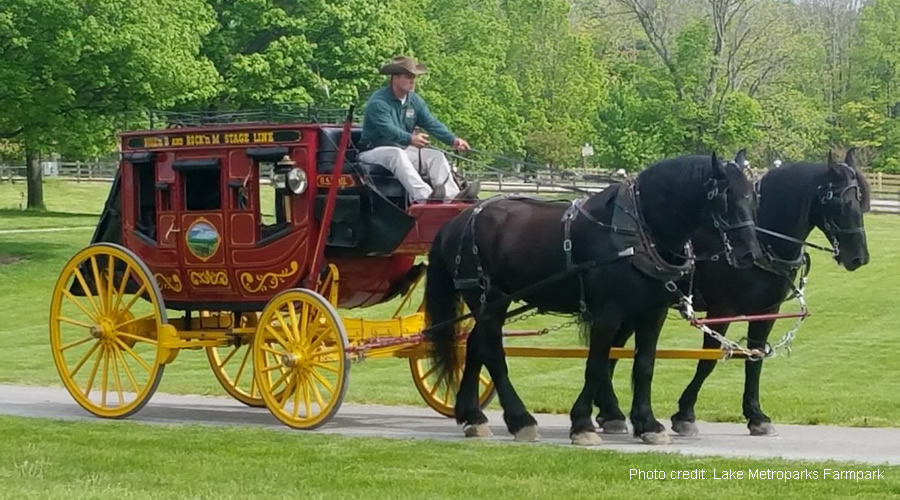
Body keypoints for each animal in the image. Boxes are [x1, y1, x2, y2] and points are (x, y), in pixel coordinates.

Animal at [426, 152, 764, 446]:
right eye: (725, 196)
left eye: (752, 196)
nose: (751, 254)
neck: (639, 232)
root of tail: (459, 219)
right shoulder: (607, 313)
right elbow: (597, 364)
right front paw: (583, 424)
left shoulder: (652, 313)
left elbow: (644, 365)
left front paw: (647, 424)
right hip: (487, 297)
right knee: (493, 352)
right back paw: (520, 420)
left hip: (491, 303)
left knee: (475, 345)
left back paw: (472, 416)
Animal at [596, 149, 872, 438]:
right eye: (842, 202)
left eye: (862, 202)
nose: (859, 257)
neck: (761, 241)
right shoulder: (721, 310)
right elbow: (708, 360)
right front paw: (685, 413)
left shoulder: (767, 311)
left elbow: (756, 358)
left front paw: (756, 415)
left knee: (613, 349)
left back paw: (608, 411)